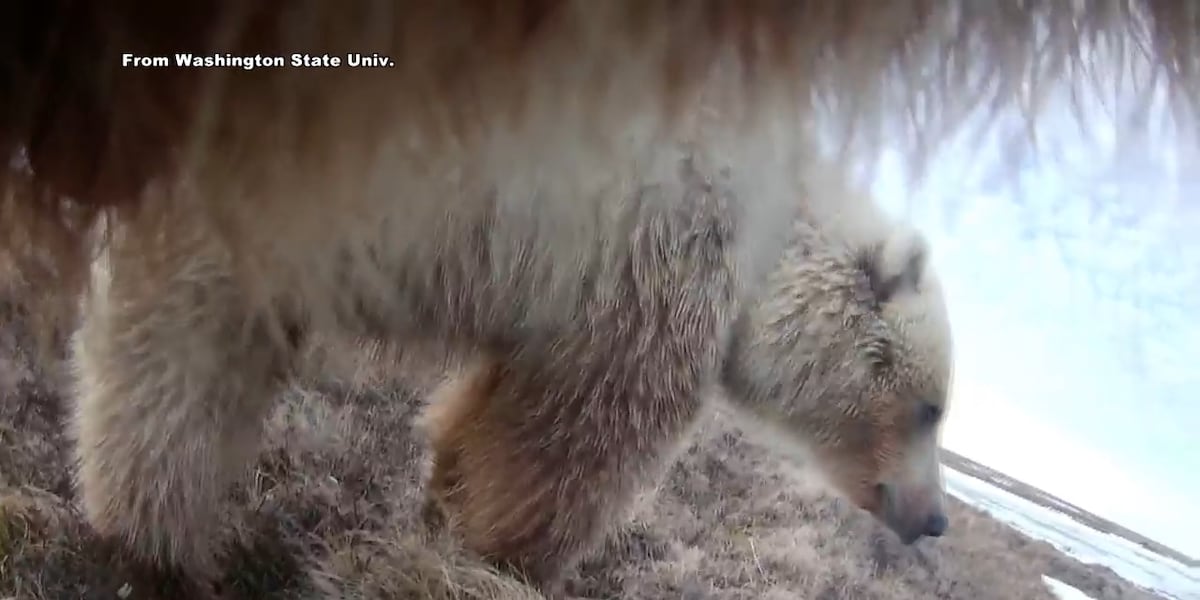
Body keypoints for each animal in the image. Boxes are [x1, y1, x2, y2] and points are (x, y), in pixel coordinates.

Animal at [418, 179, 954, 590]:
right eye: (932, 408)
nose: (936, 520)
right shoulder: (647, 280)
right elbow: (576, 439)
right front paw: (512, 561)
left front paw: (447, 493)